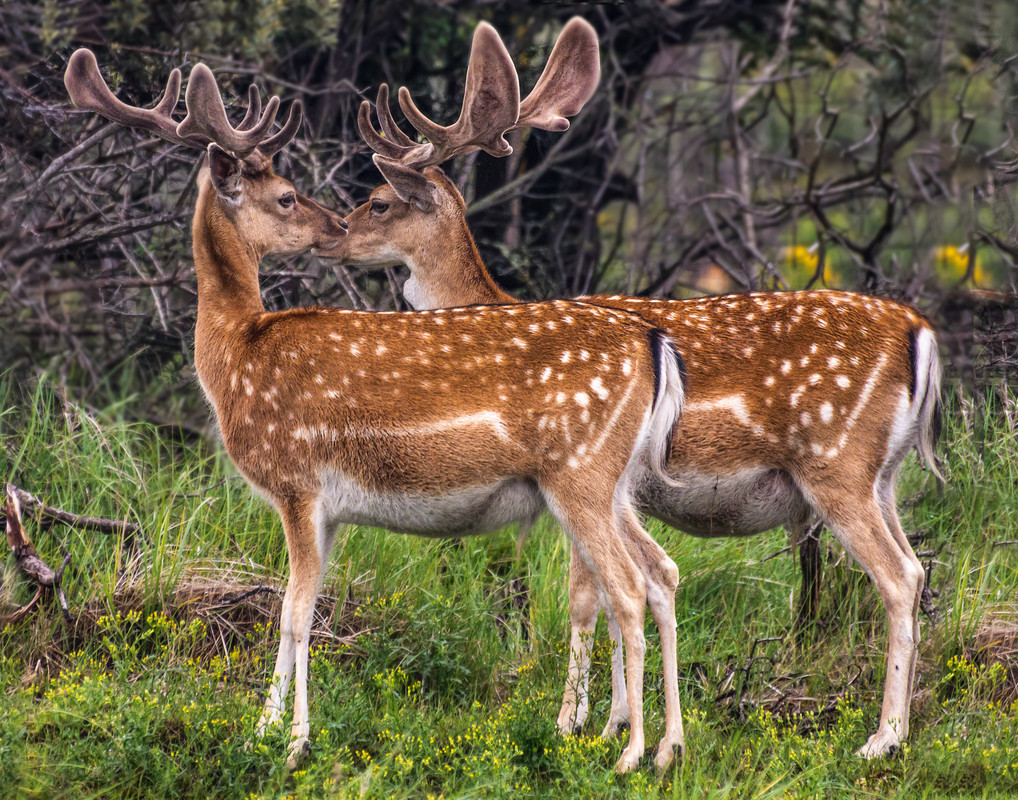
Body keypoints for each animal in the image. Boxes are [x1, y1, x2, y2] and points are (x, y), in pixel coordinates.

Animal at [67, 46, 688, 769]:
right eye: (287, 195)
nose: (333, 226)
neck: (236, 357)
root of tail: (651, 341)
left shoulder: (298, 480)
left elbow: (295, 613)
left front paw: (294, 743)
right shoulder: (326, 510)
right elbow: (294, 607)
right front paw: (263, 728)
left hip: (579, 472)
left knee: (626, 590)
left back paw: (629, 752)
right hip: (614, 484)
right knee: (660, 573)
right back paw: (668, 744)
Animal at [327, 15, 944, 757]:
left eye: (378, 202)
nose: (328, 236)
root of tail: (921, 333)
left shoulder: (582, 478)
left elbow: (582, 596)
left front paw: (578, 720)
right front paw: (618, 718)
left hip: (837, 463)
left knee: (898, 577)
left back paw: (882, 739)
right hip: (885, 476)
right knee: (916, 566)